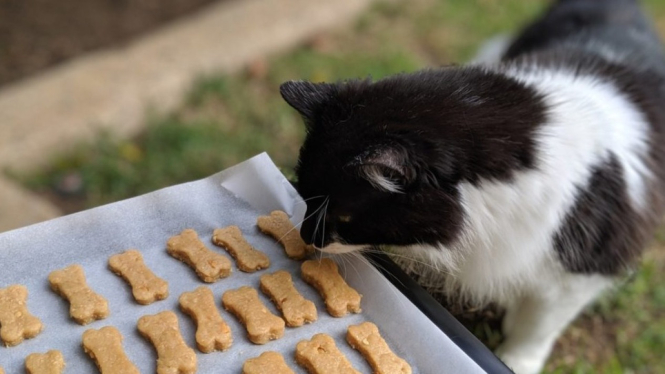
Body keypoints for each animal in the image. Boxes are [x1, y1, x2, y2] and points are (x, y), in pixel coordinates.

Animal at [278, 0, 664, 374]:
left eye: (343, 216)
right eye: (303, 196)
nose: (306, 236)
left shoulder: (583, 267)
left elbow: (539, 324)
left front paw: (517, 359)